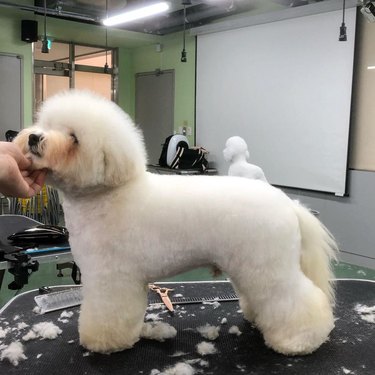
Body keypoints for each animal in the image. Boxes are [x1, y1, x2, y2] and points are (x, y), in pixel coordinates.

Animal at [13, 90, 338, 356]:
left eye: (74, 138)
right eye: (46, 124)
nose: (33, 138)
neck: (108, 194)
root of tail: (288, 204)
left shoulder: (112, 277)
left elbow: (109, 313)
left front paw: (104, 343)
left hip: (269, 265)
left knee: (295, 299)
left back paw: (300, 340)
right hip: (250, 266)